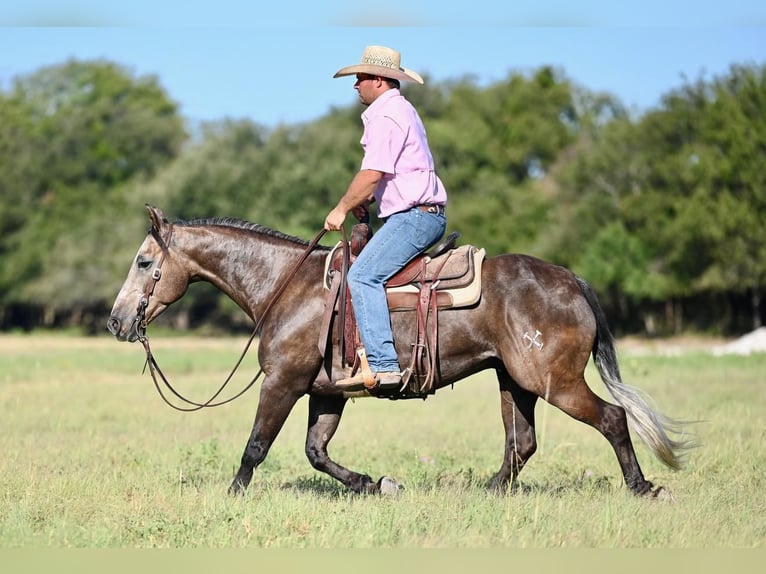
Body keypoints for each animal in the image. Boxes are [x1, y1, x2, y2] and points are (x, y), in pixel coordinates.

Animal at [106, 205, 688, 498]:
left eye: (143, 262)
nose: (116, 320)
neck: (287, 286)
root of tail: (571, 279)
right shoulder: (325, 392)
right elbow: (316, 452)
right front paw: (376, 483)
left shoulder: (283, 382)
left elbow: (256, 446)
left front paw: (231, 498)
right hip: (515, 381)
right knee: (521, 443)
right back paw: (488, 492)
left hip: (556, 381)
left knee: (612, 418)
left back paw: (643, 488)